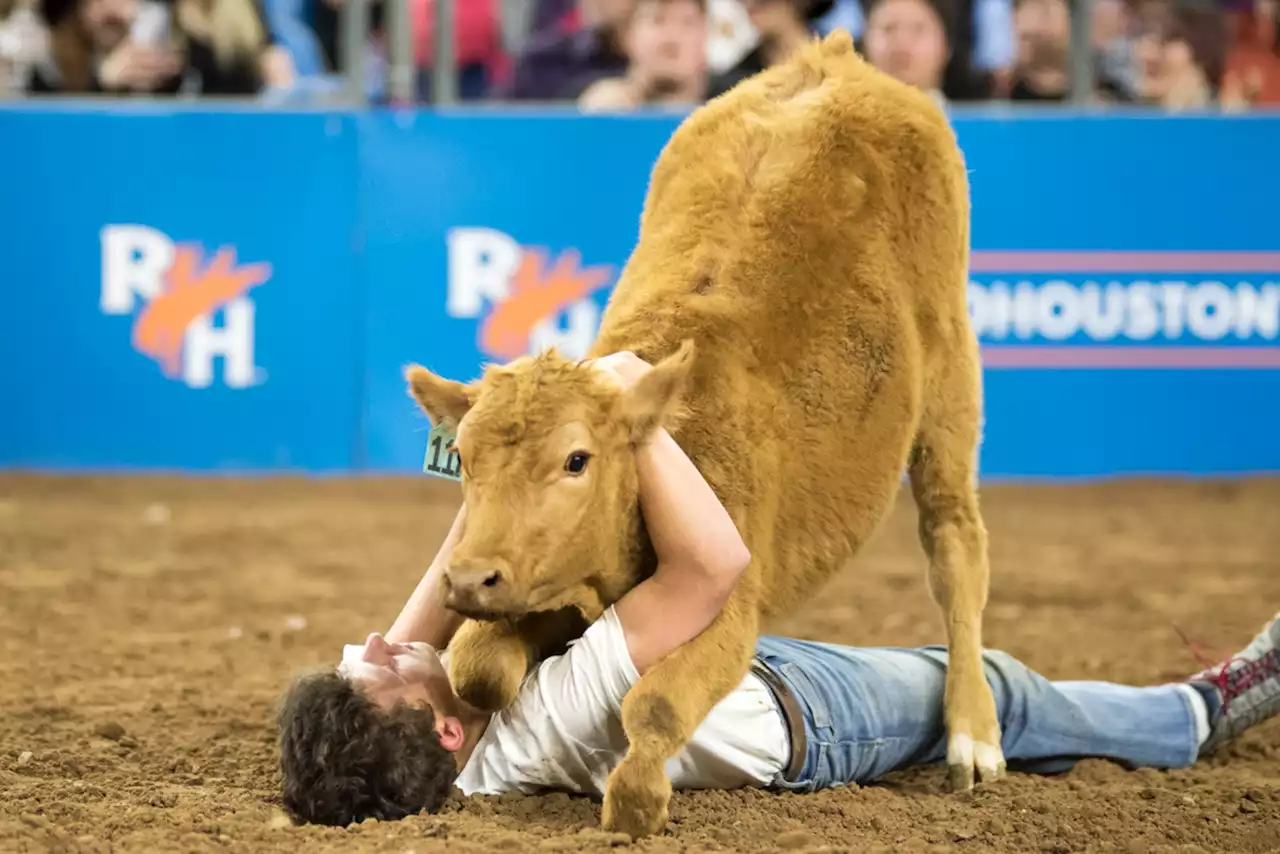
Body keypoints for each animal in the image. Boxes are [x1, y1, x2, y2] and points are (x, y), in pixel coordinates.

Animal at [404, 31, 1003, 839]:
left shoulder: (731, 612)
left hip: (950, 383)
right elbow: (479, 668)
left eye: (576, 460)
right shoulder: (539, 587)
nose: (469, 579)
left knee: (954, 542)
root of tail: (837, 59)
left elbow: (654, 702)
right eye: (463, 458)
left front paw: (637, 799)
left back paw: (974, 735)